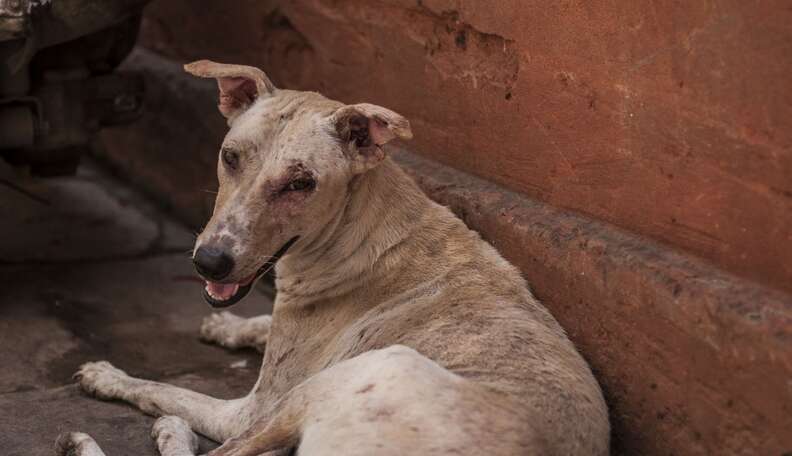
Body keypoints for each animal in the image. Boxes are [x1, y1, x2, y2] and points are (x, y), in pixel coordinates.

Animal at [55, 60, 608, 456]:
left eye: (301, 183)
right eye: (230, 156)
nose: (208, 263)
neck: (354, 233)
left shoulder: (254, 407)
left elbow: (165, 390)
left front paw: (112, 377)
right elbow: (262, 324)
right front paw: (229, 326)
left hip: (359, 375)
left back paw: (129, 436)